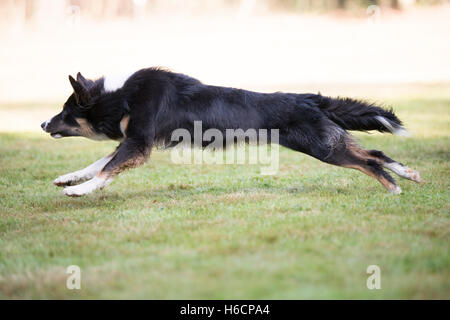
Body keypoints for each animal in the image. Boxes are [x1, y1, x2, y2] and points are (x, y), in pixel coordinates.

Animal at [40, 68, 420, 195]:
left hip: (321, 147)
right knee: (375, 153)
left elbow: (107, 168)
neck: (122, 99)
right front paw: (68, 178)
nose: (43, 124)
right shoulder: (135, 140)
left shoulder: (138, 143)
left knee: (370, 162)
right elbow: (98, 163)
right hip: (326, 142)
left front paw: (79, 191)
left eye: (66, 113)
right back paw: (409, 174)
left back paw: (394, 187)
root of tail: (307, 98)